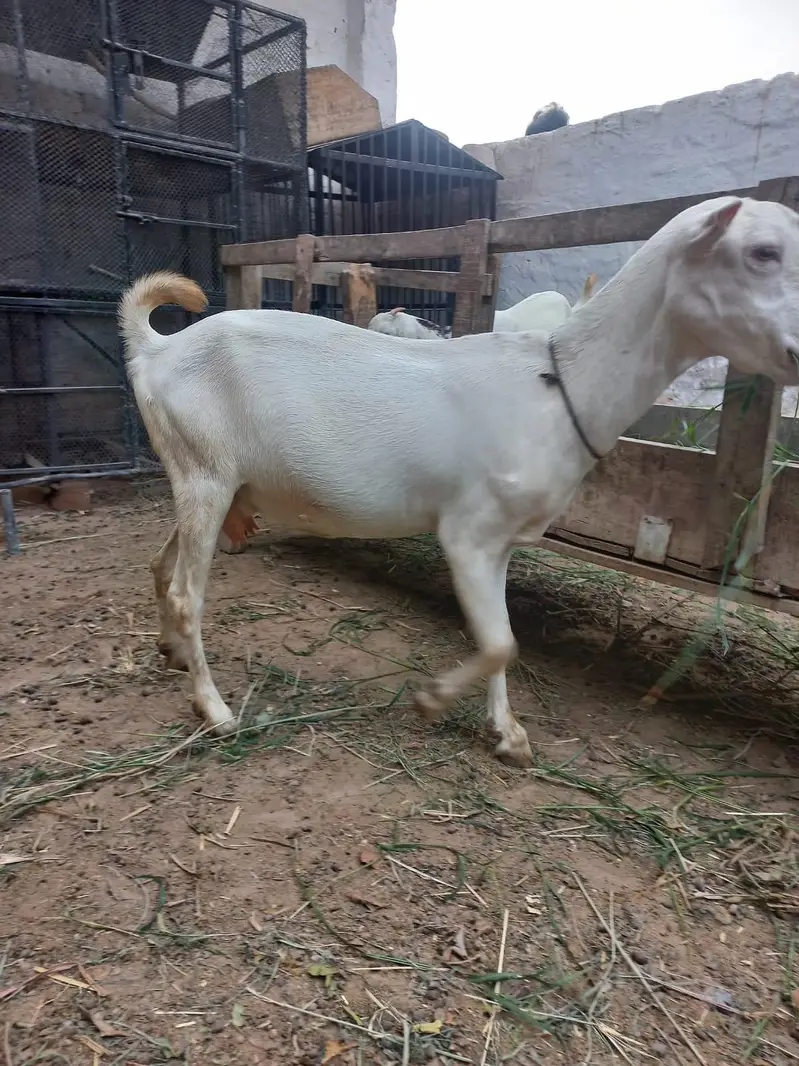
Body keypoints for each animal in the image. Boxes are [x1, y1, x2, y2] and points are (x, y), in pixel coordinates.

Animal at [120, 196, 799, 766]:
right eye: (763, 252)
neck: (560, 383)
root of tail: (155, 350)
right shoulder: (468, 531)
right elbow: (497, 643)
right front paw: (433, 701)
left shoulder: (500, 539)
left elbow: (505, 635)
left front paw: (509, 734)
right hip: (206, 472)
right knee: (185, 593)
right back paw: (214, 710)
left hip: (203, 477)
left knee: (159, 563)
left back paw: (173, 653)